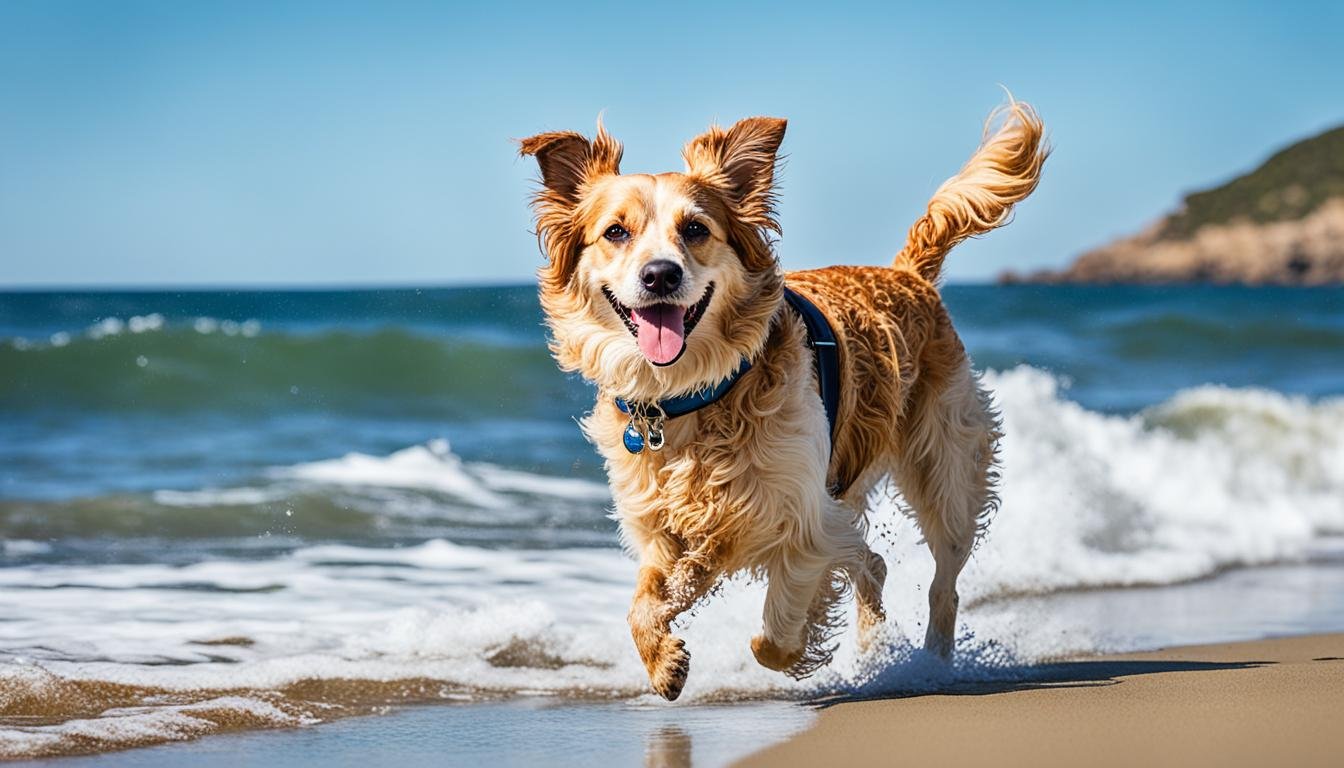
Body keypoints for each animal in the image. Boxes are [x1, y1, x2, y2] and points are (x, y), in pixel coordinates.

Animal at [518, 98, 1042, 699]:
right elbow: (646, 601)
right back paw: (874, 648)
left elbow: (772, 630)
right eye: (616, 232)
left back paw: (928, 664)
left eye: (695, 229)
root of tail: (907, 273)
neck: (692, 395)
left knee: (942, 582)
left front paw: (796, 652)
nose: (660, 275)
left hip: (946, 473)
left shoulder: (803, 515)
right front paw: (664, 660)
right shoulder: (657, 525)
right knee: (875, 563)